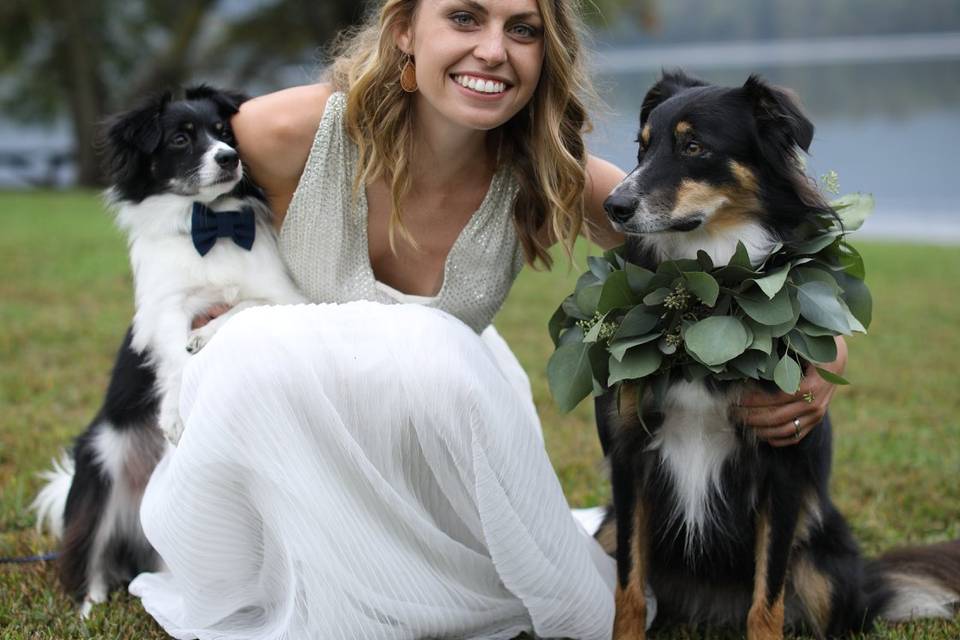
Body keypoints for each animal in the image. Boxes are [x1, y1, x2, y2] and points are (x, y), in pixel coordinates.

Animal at [34, 85, 304, 616]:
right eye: (181, 138)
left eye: (224, 132)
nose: (229, 158)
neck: (212, 225)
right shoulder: (161, 313)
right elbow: (176, 360)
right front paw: (177, 414)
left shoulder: (282, 296)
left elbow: (243, 309)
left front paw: (207, 334)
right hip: (101, 463)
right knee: (86, 552)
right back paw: (92, 603)